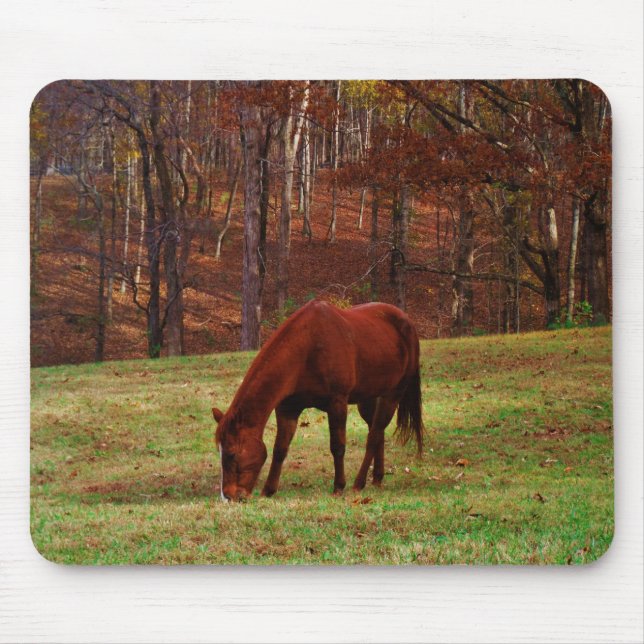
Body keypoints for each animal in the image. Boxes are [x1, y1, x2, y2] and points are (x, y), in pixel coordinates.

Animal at [212, 300, 425, 501]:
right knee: (377, 431)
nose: (228, 497)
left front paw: (339, 486)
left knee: (373, 436)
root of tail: (408, 323)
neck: (307, 348)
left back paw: (359, 482)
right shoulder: (287, 409)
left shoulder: (337, 403)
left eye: (231, 454)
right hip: (368, 399)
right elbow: (280, 449)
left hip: (393, 394)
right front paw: (268, 490)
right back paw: (377, 478)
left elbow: (337, 446)